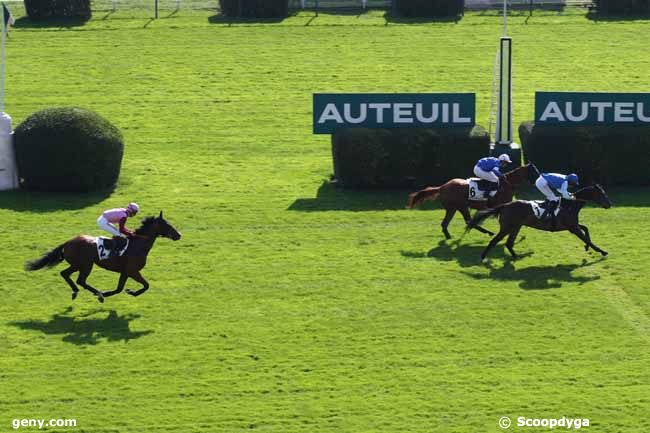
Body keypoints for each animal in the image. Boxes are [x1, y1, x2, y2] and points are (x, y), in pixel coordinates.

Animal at [25, 211, 180, 302]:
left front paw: (124, 291)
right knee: (80, 280)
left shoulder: (125, 272)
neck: (138, 244)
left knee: (65, 274)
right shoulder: (133, 271)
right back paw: (97, 294)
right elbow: (146, 285)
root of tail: (67, 242)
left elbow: (119, 288)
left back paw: (76, 291)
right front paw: (129, 292)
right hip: (86, 265)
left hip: (77, 264)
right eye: (167, 225)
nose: (178, 235)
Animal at [404, 162, 532, 238]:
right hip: (461, 206)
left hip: (453, 208)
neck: (507, 184)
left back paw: (449, 236)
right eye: (534, 170)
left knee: (448, 222)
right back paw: (488, 232)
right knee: (469, 222)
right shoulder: (502, 206)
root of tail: (442, 187)